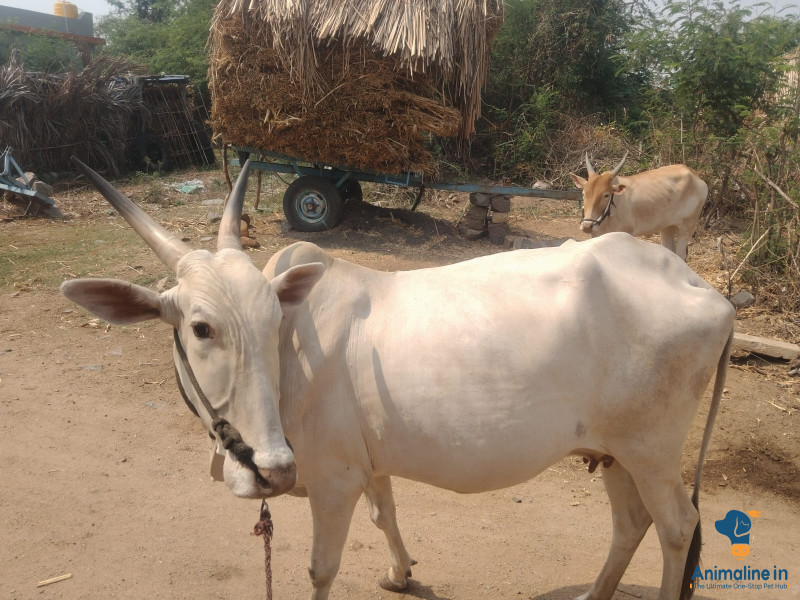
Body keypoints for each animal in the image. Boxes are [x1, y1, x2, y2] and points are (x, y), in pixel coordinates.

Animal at [570, 153, 708, 261]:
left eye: (606, 195)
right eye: (584, 193)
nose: (587, 226)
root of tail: (694, 174)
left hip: (686, 228)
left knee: (681, 255)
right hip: (667, 227)